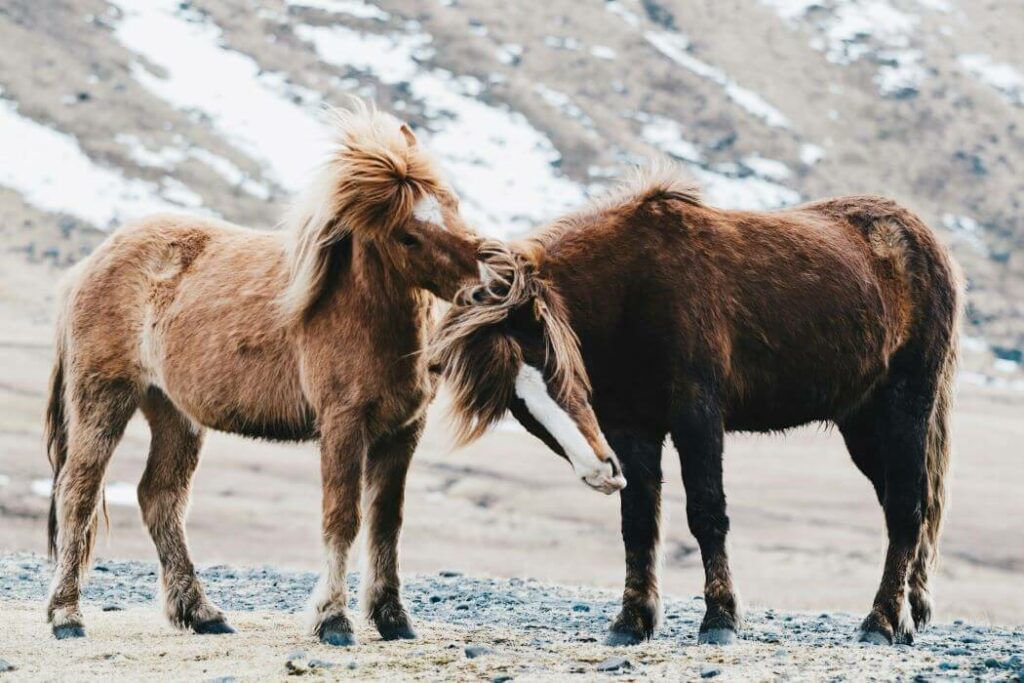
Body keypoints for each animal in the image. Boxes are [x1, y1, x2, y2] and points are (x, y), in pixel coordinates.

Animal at [44, 102, 483, 647]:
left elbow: (387, 524)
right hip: (104, 398)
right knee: (78, 493)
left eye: (452, 203)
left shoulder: (402, 431)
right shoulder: (343, 424)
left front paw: (392, 618)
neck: (357, 308)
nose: (491, 280)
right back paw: (66, 617)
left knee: (160, 498)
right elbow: (342, 518)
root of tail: (88, 265)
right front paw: (333, 620)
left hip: (173, 411)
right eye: (408, 234)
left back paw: (202, 613)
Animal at [430, 162, 958, 651]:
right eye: (515, 402)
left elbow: (706, 513)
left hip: (905, 404)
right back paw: (909, 614)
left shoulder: (697, 417)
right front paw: (631, 621)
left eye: (551, 362)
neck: (632, 288)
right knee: (907, 505)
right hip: (861, 424)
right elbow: (638, 523)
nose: (599, 472)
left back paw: (881, 622)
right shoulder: (630, 430)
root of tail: (925, 242)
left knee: (906, 508)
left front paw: (720, 619)